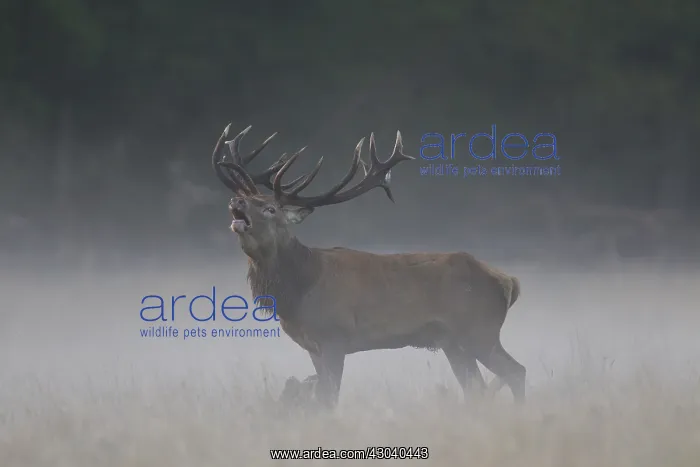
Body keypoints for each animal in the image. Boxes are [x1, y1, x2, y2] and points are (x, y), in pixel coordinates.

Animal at [210, 123, 524, 408]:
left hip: (479, 329)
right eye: (247, 198)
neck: (299, 289)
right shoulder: (313, 347)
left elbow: (328, 399)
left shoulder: (335, 337)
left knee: (516, 371)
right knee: (476, 388)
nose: (237, 200)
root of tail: (509, 281)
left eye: (270, 209)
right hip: (453, 342)